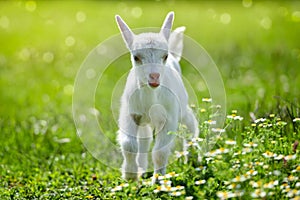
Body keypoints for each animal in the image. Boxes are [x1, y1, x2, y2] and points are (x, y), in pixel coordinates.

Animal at [115, 11, 199, 182]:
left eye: (164, 56)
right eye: (136, 57)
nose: (154, 76)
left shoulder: (169, 118)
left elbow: (160, 151)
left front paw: (158, 181)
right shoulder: (130, 113)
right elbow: (129, 144)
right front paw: (130, 176)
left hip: (181, 107)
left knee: (190, 124)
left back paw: (193, 159)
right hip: (143, 119)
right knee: (144, 139)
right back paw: (141, 168)